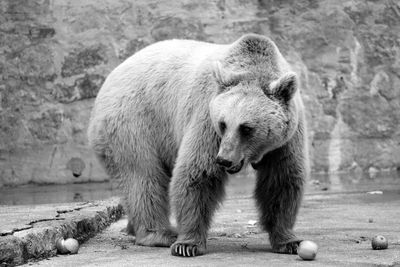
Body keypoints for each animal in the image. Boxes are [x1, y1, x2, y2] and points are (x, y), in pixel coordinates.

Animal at [88, 33, 310, 258]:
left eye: (246, 128)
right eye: (223, 123)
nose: (224, 159)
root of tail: (109, 78)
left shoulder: (285, 140)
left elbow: (281, 180)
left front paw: (289, 241)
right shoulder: (206, 118)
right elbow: (198, 174)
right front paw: (187, 244)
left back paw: (134, 228)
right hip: (135, 123)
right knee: (142, 177)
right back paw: (159, 234)